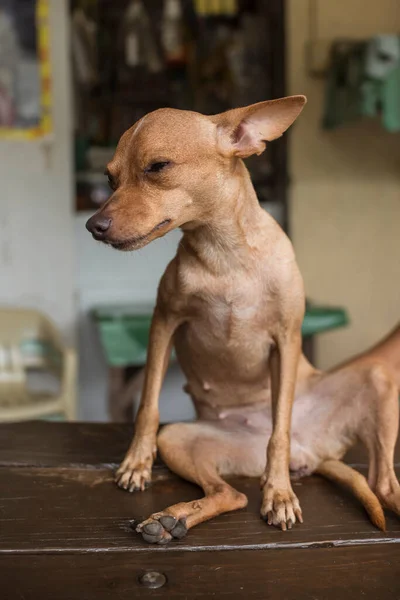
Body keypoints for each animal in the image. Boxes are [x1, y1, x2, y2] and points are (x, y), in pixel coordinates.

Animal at [86, 98, 398, 544]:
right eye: (109, 178)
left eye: (158, 166)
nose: (93, 225)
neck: (225, 256)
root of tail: (312, 454)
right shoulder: (163, 325)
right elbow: (148, 404)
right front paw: (136, 461)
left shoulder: (286, 340)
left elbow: (279, 430)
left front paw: (280, 493)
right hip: (180, 439)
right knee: (232, 495)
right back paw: (172, 520)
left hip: (375, 379)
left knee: (382, 483)